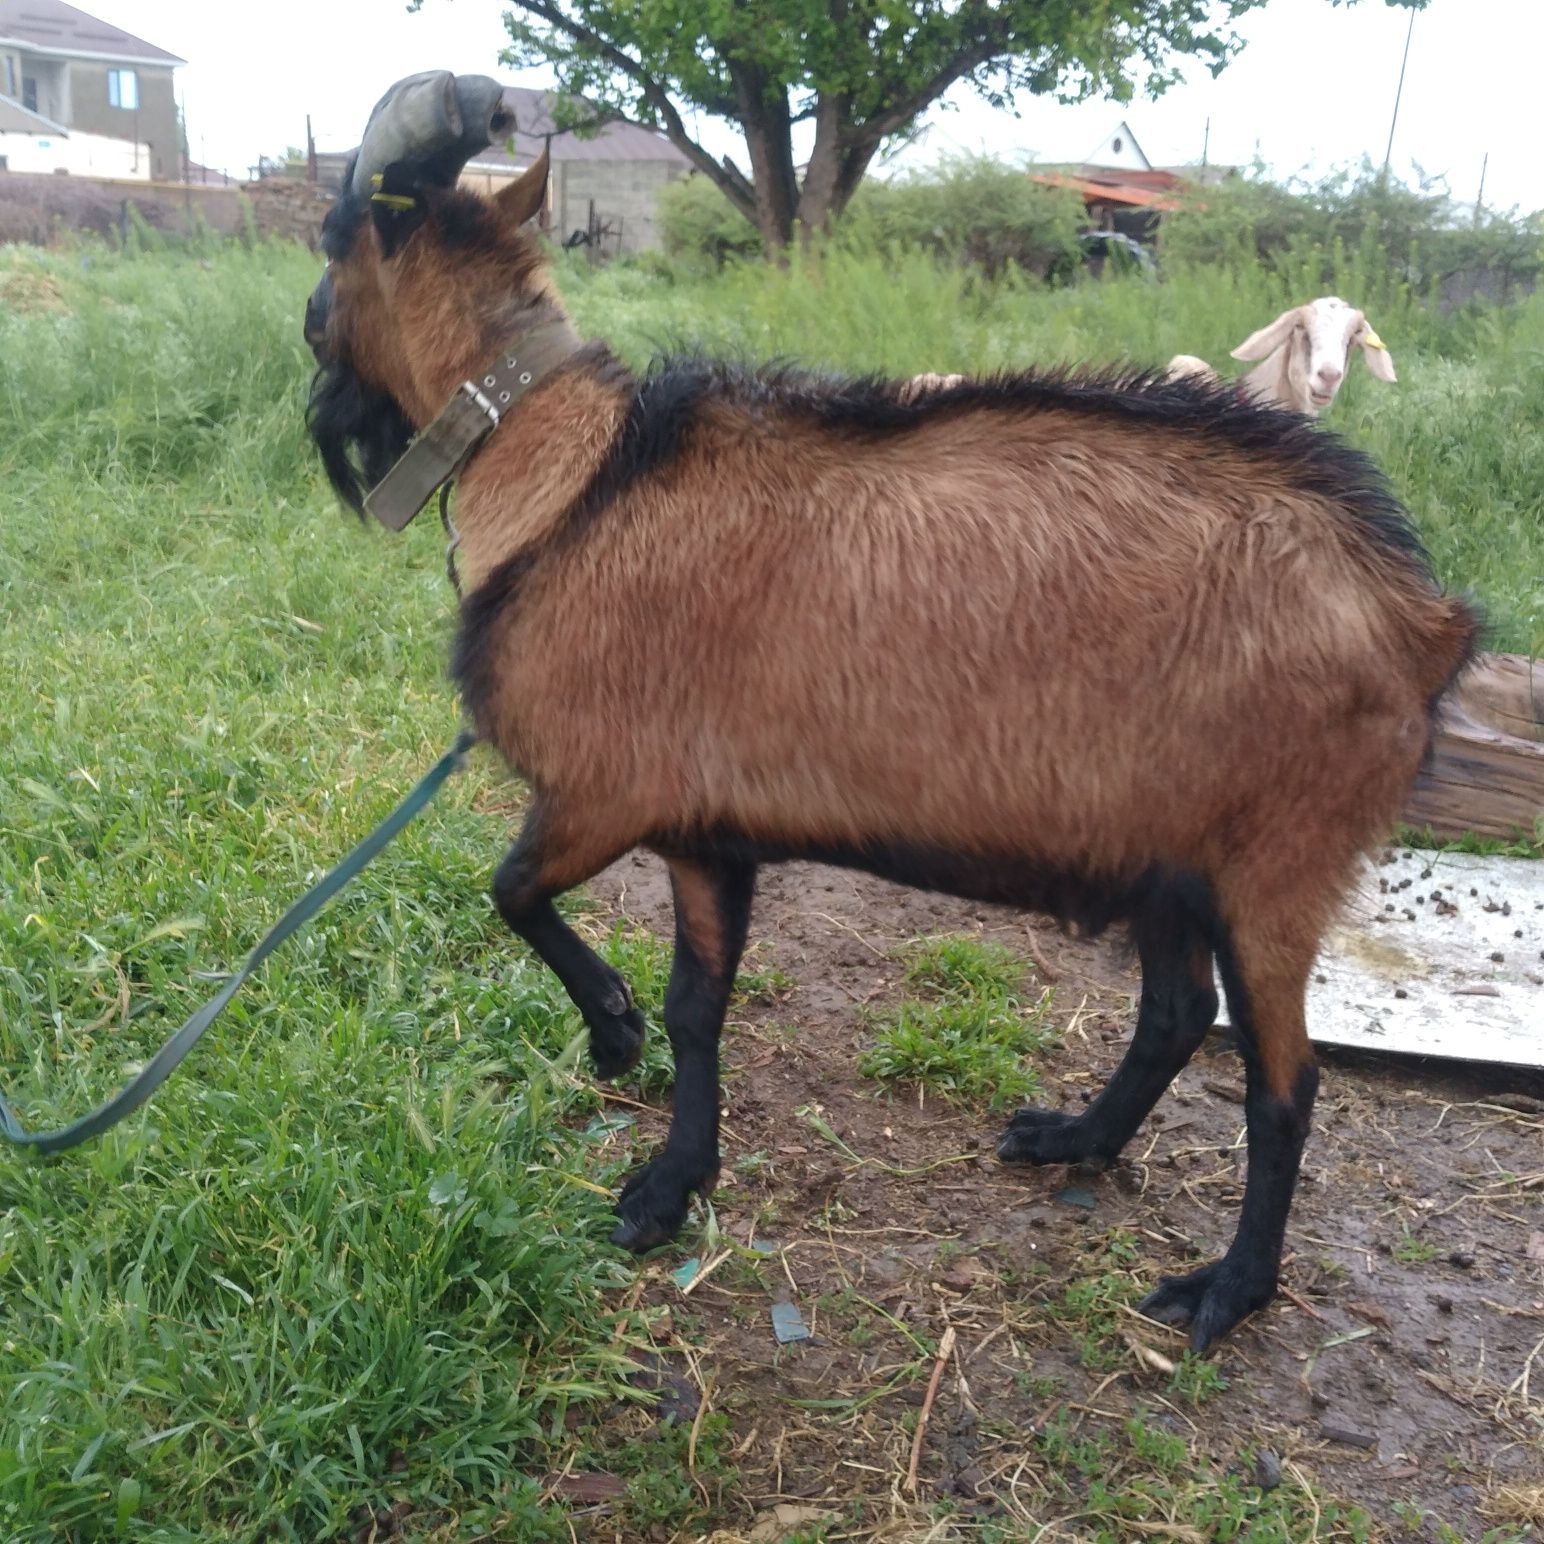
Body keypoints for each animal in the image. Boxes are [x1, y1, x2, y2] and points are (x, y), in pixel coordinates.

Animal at [307, 75, 1476, 1352]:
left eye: (329, 244)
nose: (315, 363)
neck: (576, 479)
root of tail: (1415, 613)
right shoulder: (702, 829)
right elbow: (695, 1005)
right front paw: (669, 1180)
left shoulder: (600, 791)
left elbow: (510, 890)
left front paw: (610, 1033)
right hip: (1165, 847)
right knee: (1175, 1009)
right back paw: (1073, 1137)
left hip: (1273, 866)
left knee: (1281, 1082)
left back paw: (1224, 1288)